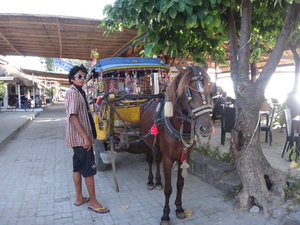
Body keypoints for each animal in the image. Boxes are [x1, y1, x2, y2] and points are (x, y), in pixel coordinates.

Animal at [139, 64, 212, 224]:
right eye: (188, 91)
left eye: (209, 89)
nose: (206, 127)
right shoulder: (168, 158)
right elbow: (169, 188)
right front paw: (165, 215)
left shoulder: (184, 157)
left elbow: (180, 184)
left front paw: (179, 208)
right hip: (147, 142)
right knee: (150, 160)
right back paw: (151, 181)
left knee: (157, 159)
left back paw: (158, 181)